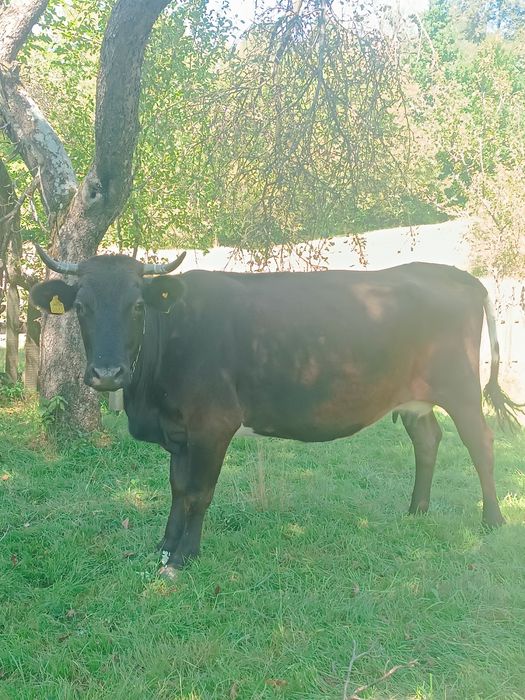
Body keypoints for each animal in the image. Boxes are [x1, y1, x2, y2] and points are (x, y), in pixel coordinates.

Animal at [30, 247, 521, 577]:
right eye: (81, 307)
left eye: (136, 305)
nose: (107, 373)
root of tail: (455, 274)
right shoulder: (180, 431)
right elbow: (177, 488)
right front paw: (166, 545)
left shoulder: (213, 423)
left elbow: (199, 492)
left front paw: (185, 555)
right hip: (415, 396)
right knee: (427, 440)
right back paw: (417, 510)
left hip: (460, 387)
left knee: (481, 444)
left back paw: (493, 520)